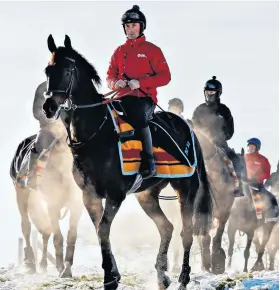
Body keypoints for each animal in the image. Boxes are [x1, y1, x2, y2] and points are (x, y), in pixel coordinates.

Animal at [10, 122, 83, 276]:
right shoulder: (52, 204)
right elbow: (57, 236)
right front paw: (61, 267)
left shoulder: (76, 204)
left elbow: (71, 235)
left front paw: (67, 267)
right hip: (21, 193)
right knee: (26, 226)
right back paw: (30, 263)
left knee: (45, 231)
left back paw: (42, 264)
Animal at [41, 34, 212, 290]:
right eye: (48, 70)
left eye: (68, 70)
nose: (49, 106)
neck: (96, 134)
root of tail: (187, 127)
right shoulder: (89, 195)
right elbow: (100, 230)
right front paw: (113, 274)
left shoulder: (115, 194)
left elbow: (103, 229)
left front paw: (110, 278)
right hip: (147, 195)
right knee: (166, 227)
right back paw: (162, 275)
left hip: (186, 189)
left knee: (187, 232)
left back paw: (183, 278)